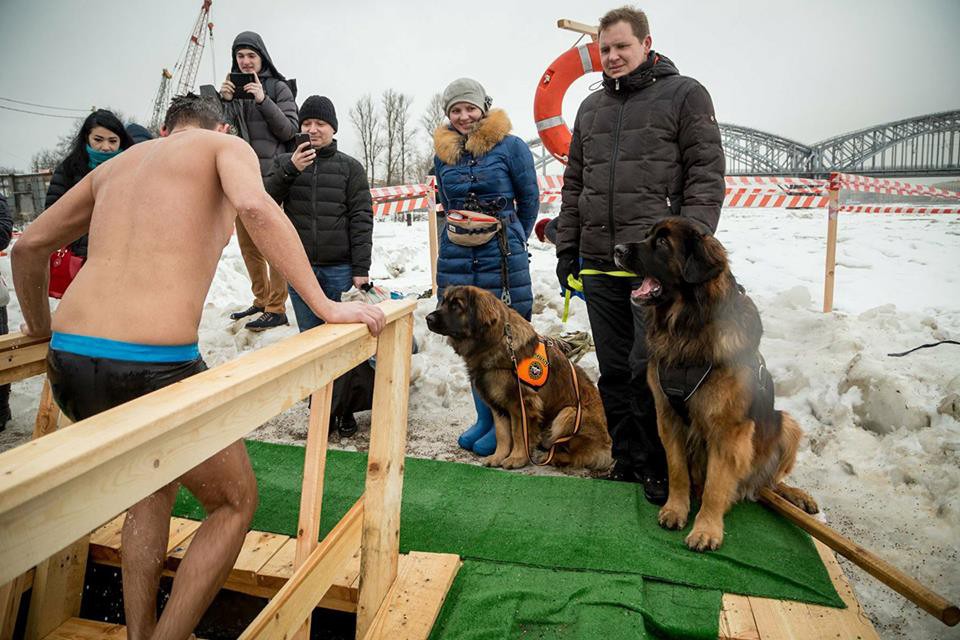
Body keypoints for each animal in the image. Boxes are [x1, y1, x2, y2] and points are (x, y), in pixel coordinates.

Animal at [426, 284, 612, 470]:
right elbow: (502, 434)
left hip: (569, 414)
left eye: (456, 305)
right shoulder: (498, 405)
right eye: (444, 302)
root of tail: (608, 446)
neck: (496, 341)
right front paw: (498, 457)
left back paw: (554, 457)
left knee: (579, 455)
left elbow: (518, 433)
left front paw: (517, 458)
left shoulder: (521, 404)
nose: (428, 318)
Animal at [616, 219, 816, 552]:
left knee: (771, 482)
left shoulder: (728, 430)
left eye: (662, 243)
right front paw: (676, 509)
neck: (687, 328)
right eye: (647, 235)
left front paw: (706, 530)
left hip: (787, 424)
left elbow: (715, 485)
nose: (617, 249)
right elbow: (677, 471)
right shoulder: (667, 417)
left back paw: (798, 495)